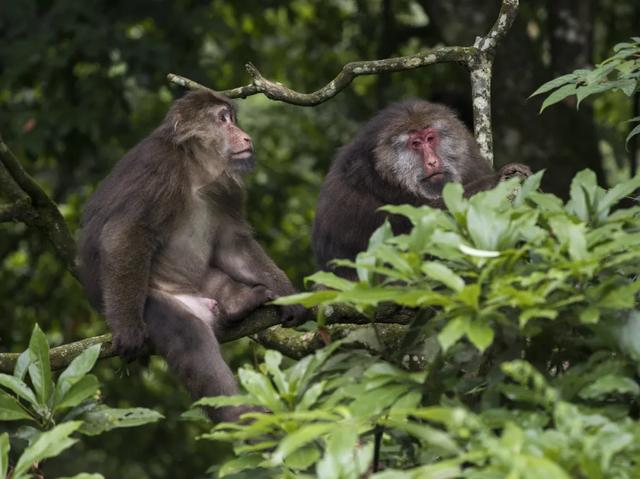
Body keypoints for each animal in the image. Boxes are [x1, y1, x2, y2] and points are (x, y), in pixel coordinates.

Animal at [79, 90, 308, 420]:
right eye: (223, 120)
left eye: (232, 118)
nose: (245, 136)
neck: (194, 169)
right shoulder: (160, 169)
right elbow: (124, 232)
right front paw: (126, 327)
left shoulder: (226, 187)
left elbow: (232, 246)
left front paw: (288, 294)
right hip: (155, 302)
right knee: (190, 338)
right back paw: (237, 417)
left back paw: (239, 303)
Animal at [314, 100, 528, 280]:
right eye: (415, 144)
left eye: (430, 138)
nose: (432, 162)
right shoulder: (375, 181)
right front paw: (498, 180)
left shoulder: (471, 160)